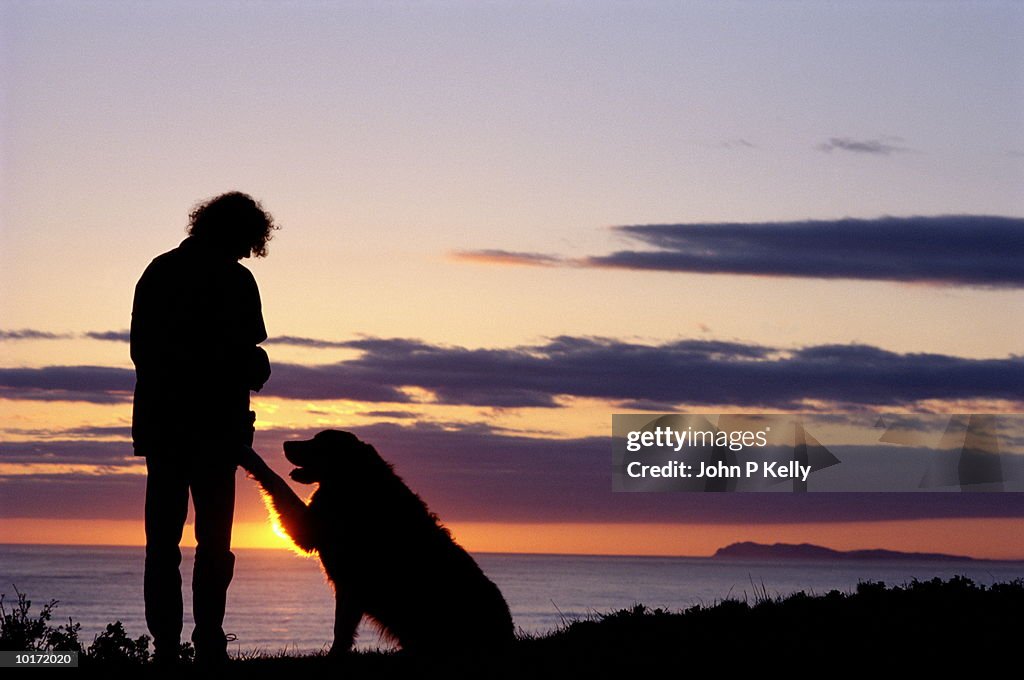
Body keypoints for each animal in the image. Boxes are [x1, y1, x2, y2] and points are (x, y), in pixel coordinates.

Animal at [237, 428, 512, 655]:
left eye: (318, 441)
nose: (285, 443)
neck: (353, 481)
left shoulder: (318, 540)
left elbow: (276, 480)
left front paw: (249, 455)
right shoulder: (346, 585)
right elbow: (342, 627)